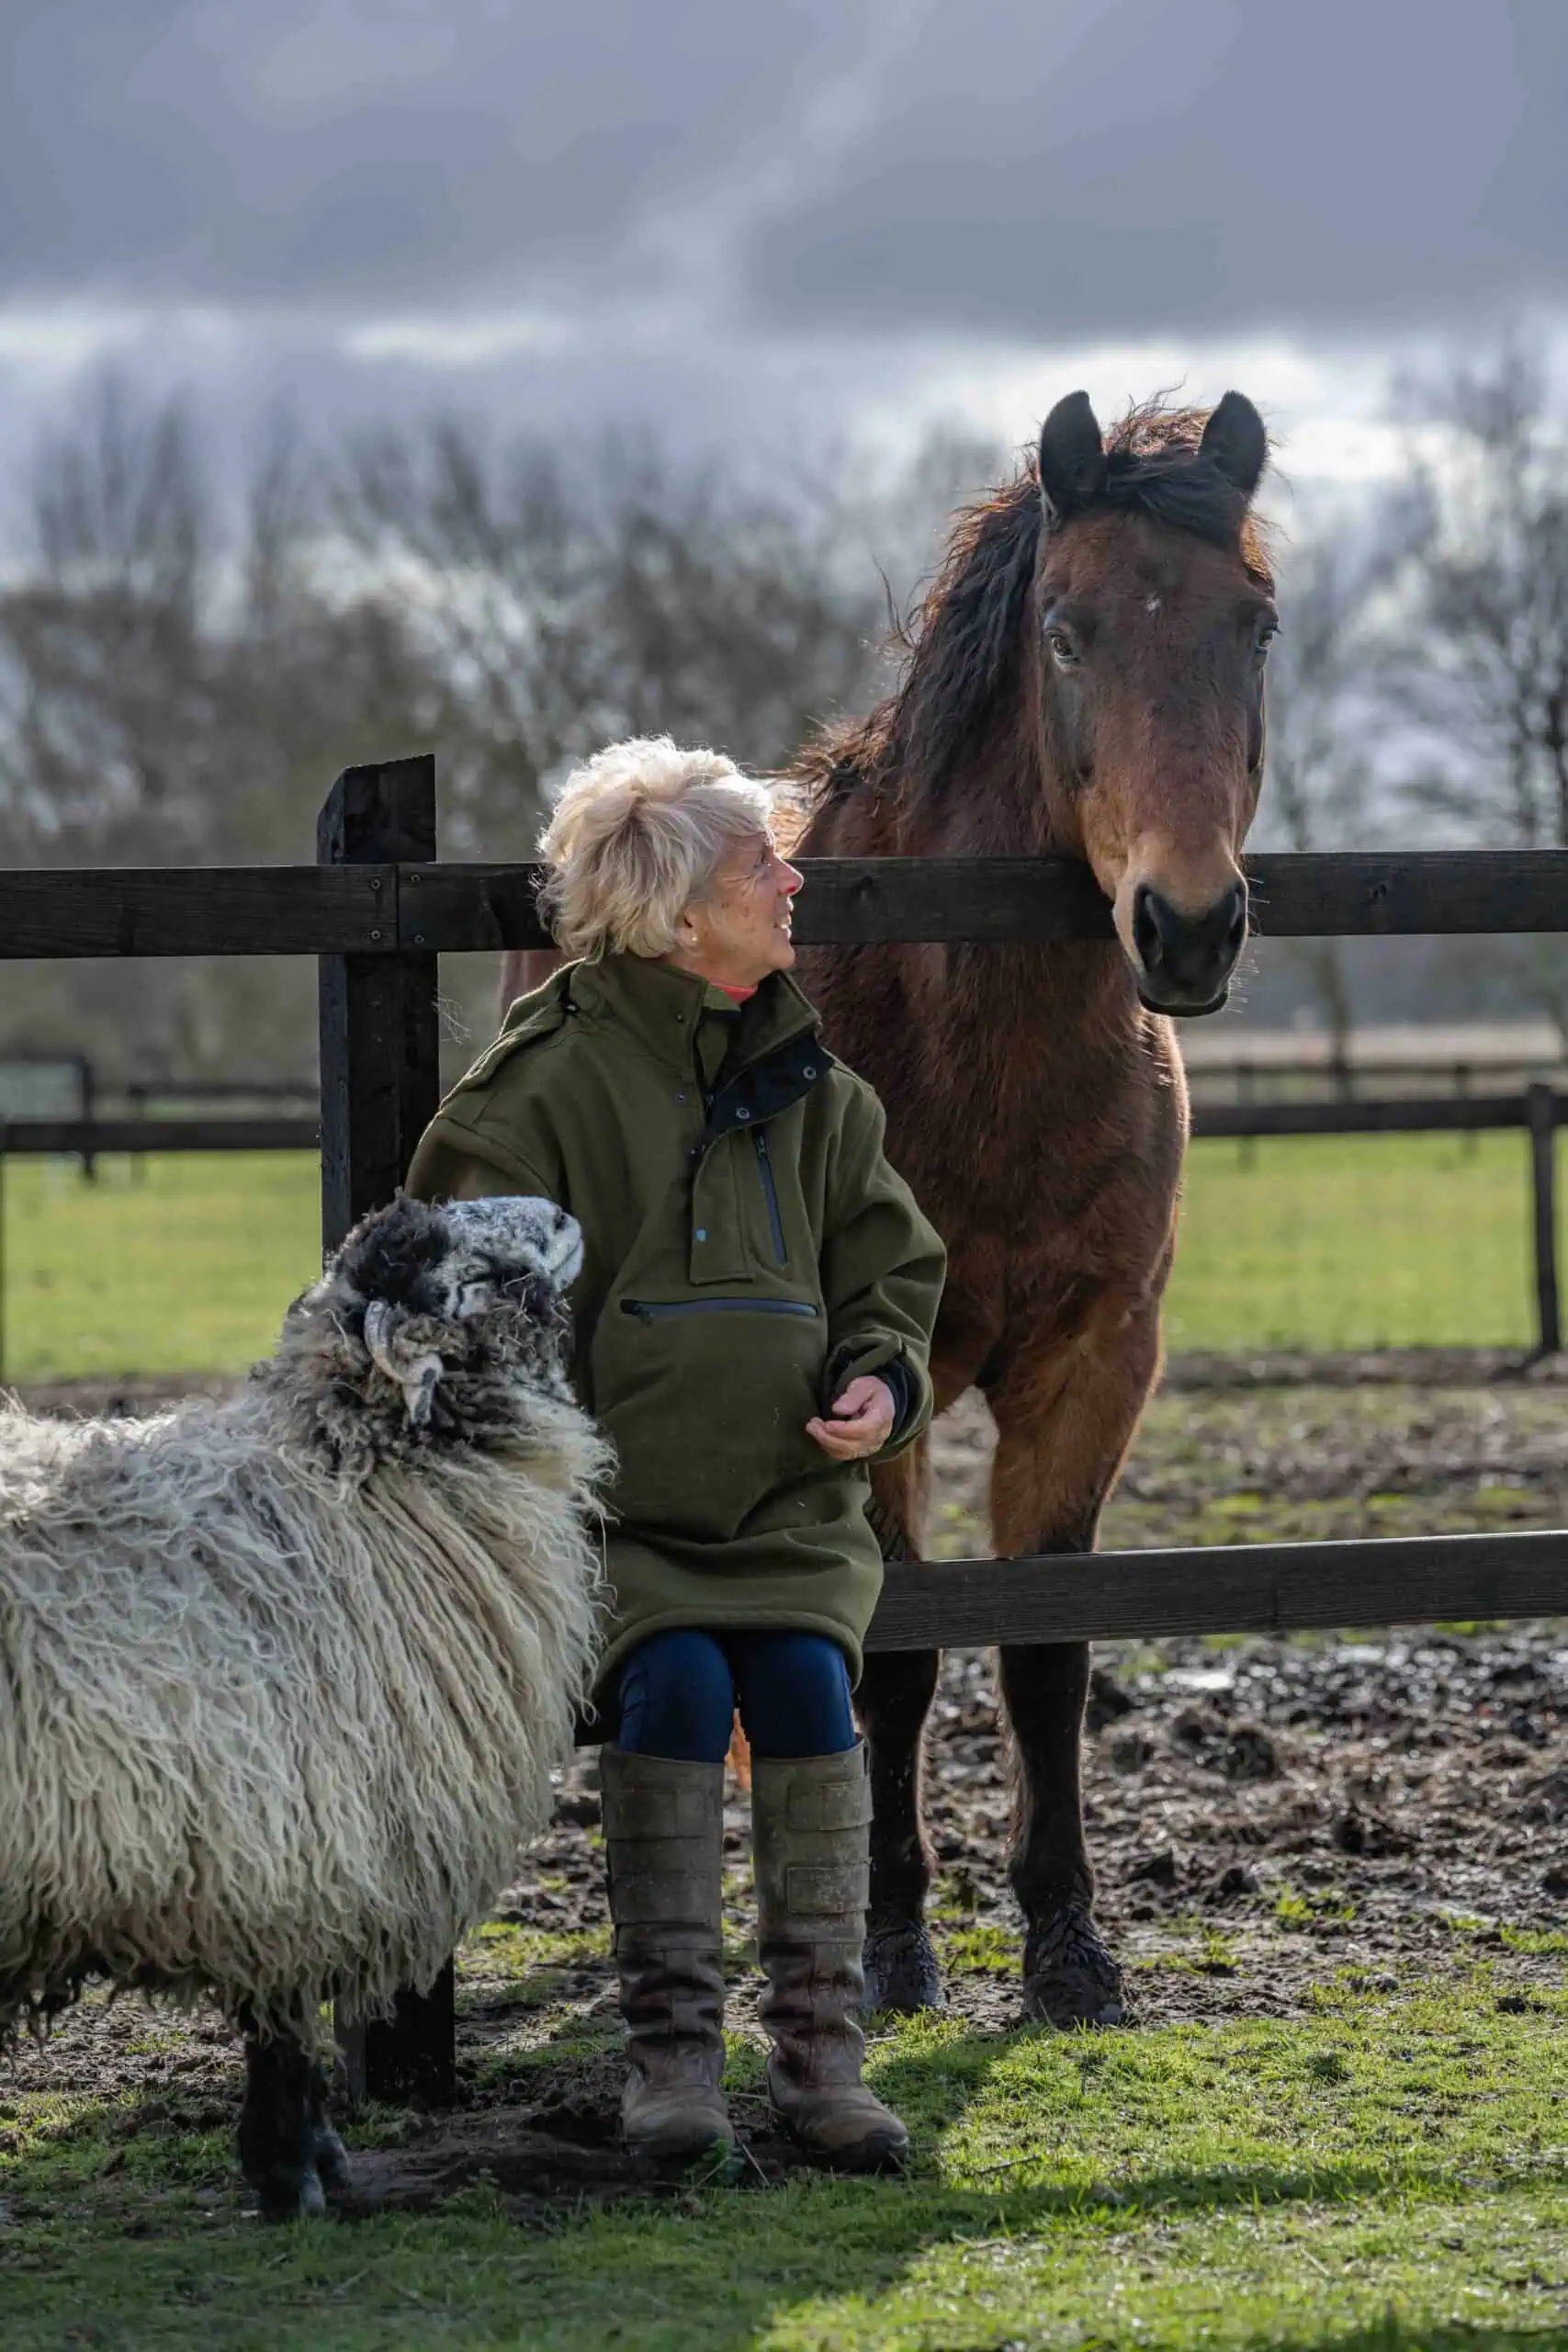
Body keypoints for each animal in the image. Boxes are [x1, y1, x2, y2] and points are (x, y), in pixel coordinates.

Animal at [0, 1191, 609, 2220]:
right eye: (472, 1268)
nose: (566, 1212)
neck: (343, 1475)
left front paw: (301, 2162)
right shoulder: (295, 1847)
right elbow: (283, 2028)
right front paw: (294, 2172)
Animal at [498, 389, 1275, 2026]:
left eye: (1252, 625)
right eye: (1066, 631)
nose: (1185, 925)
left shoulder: (1093, 1364)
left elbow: (1041, 1657)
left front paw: (1067, 1949)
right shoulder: (871, 1383)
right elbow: (897, 1662)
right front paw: (895, 1937)